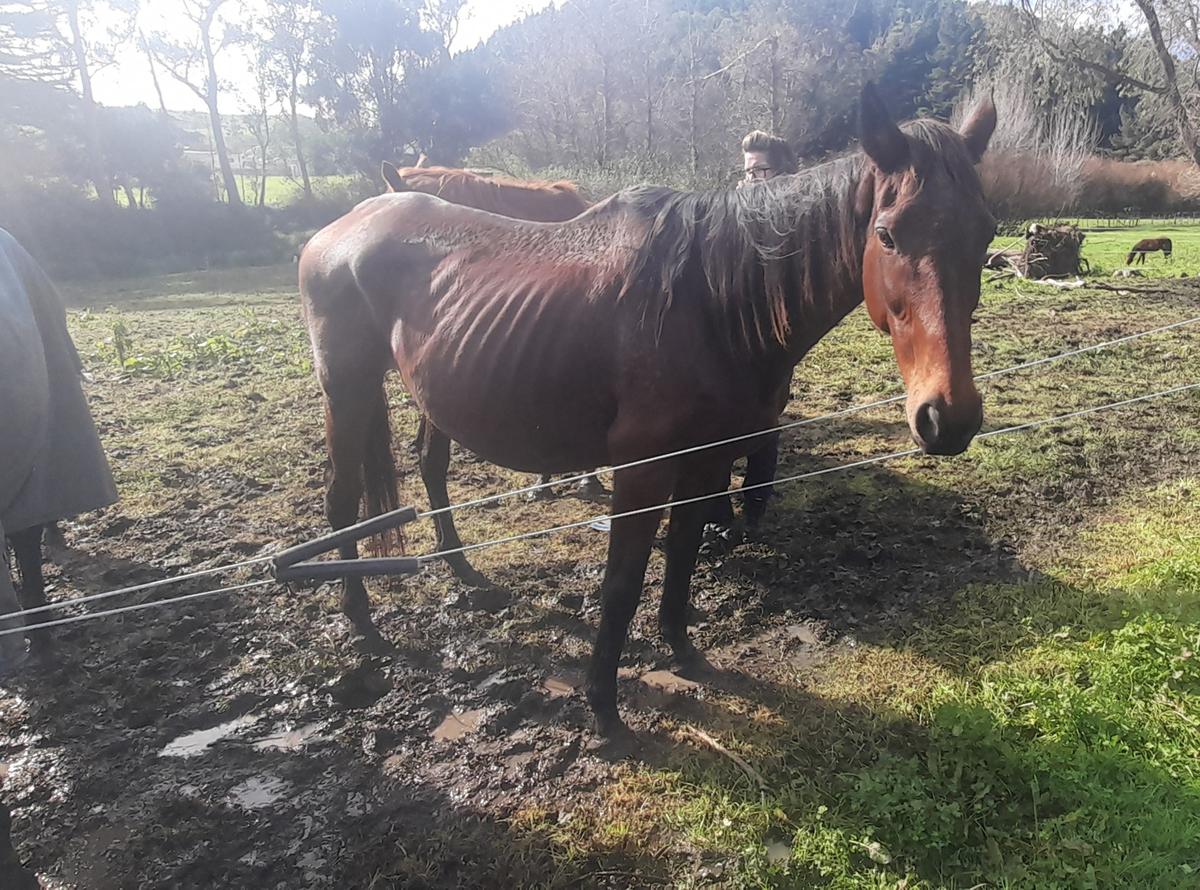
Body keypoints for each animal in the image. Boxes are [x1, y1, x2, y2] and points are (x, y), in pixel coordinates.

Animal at [299, 84, 997, 735]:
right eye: (886, 234)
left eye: (987, 233)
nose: (949, 417)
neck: (710, 304)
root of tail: (343, 225)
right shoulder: (641, 471)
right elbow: (622, 580)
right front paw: (604, 708)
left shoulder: (706, 460)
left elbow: (684, 550)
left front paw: (682, 649)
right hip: (346, 390)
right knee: (341, 500)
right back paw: (360, 620)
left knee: (429, 467)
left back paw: (461, 572)